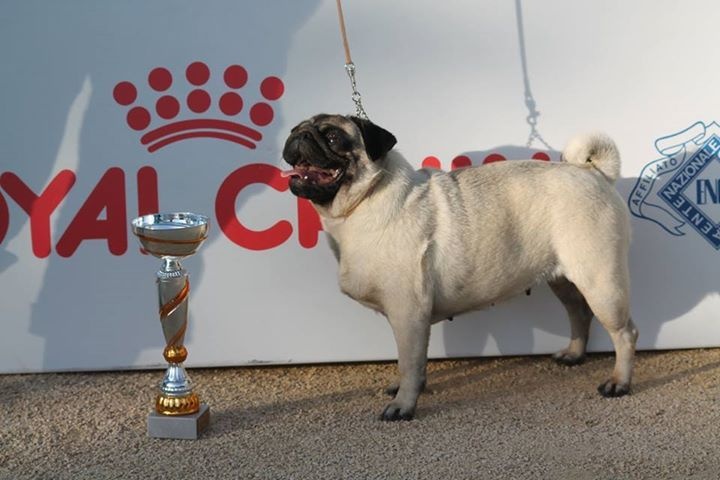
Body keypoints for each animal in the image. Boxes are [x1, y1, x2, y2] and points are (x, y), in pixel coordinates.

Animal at [280, 114, 636, 422]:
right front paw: (406, 389)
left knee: (624, 333)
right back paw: (574, 354)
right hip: (565, 280)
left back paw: (619, 382)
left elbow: (409, 362)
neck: (361, 203)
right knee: (579, 313)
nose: (299, 136)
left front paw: (403, 405)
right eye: (296, 129)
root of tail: (592, 172)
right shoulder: (409, 319)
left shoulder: (408, 312)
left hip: (600, 281)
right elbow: (411, 362)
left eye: (332, 137)